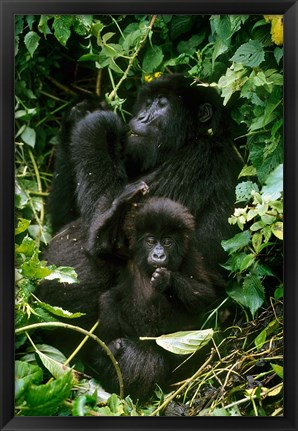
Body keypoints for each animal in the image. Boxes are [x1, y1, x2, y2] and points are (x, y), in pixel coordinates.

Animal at [50, 74, 242, 276]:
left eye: (162, 104)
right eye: (147, 103)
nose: (140, 118)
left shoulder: (200, 158)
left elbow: (110, 238)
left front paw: (99, 124)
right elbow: (63, 224)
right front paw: (79, 111)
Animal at [93, 199, 224, 402]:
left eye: (168, 242)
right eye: (151, 241)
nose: (159, 255)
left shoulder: (190, 256)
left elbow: (205, 294)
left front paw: (166, 279)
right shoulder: (125, 252)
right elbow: (99, 248)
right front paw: (124, 201)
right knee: (110, 299)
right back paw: (109, 348)